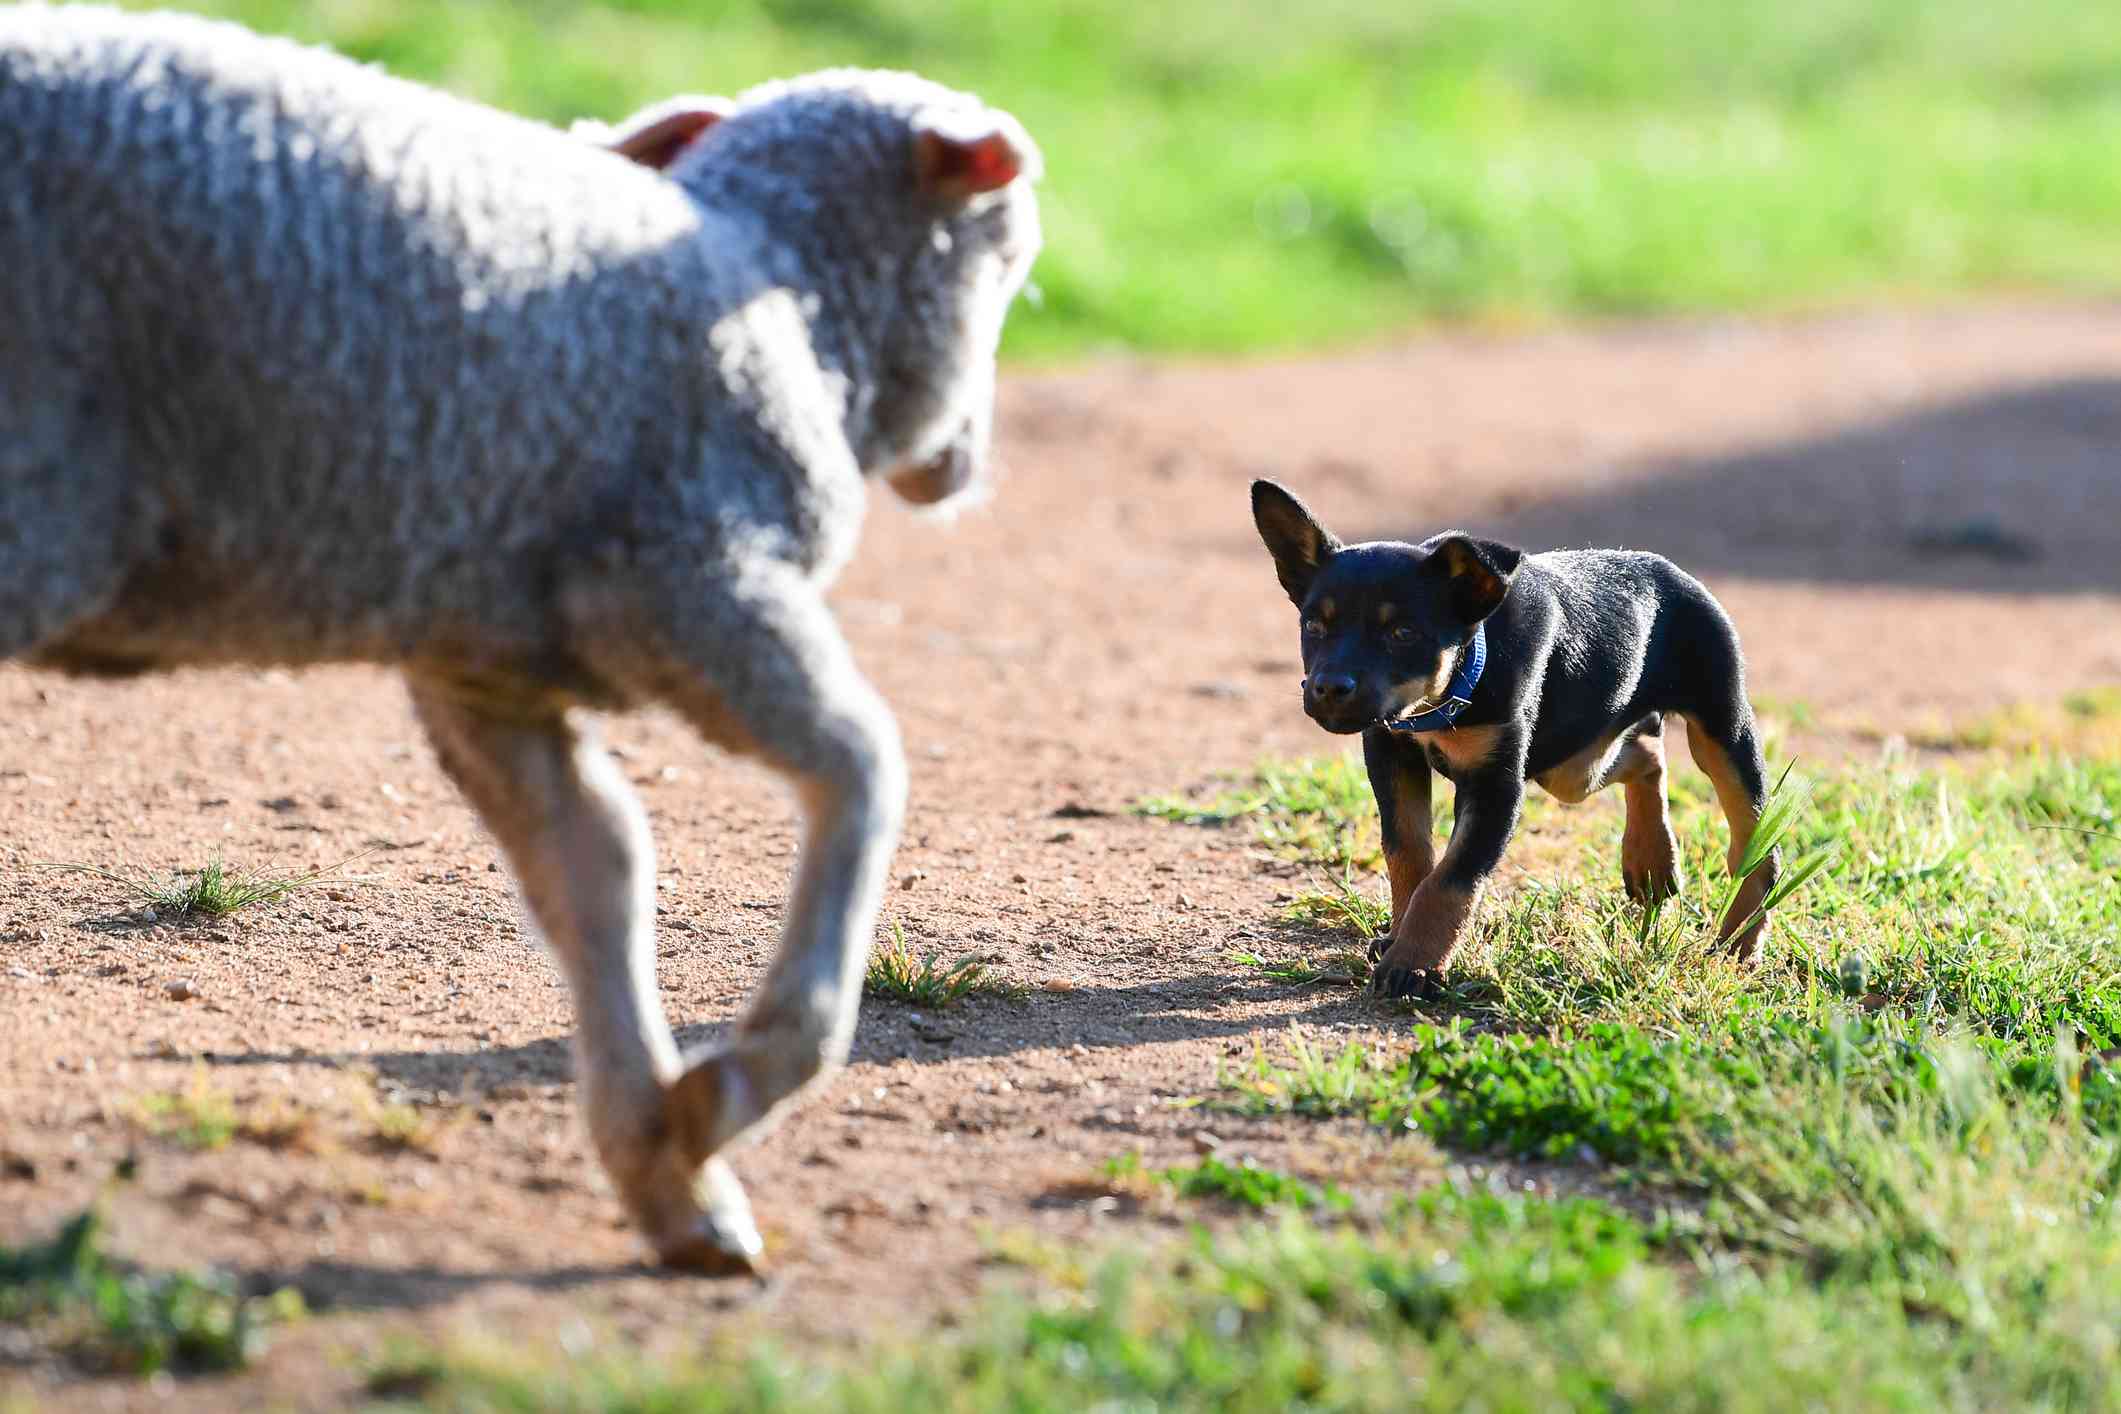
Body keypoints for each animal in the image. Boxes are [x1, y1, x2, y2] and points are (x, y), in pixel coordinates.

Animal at [0, 8, 1043, 1271]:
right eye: (1007, 259)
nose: (966, 462)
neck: (785, 290)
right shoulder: (688, 575)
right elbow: (861, 767)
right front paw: (744, 1079)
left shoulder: (485, 660)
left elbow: (597, 865)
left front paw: (666, 1168)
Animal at [1247, 481, 1781, 1000]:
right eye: (1313, 626)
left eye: (1403, 633)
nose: (1328, 689)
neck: (1447, 695)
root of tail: (1669, 569)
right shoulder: (1391, 751)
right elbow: (1408, 854)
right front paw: (1399, 937)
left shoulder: (1495, 785)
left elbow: (1451, 879)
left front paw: (1413, 965)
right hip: (1570, 765)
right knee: (1645, 747)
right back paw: (1650, 860)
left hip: (1720, 727)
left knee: (1752, 846)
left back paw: (1736, 945)